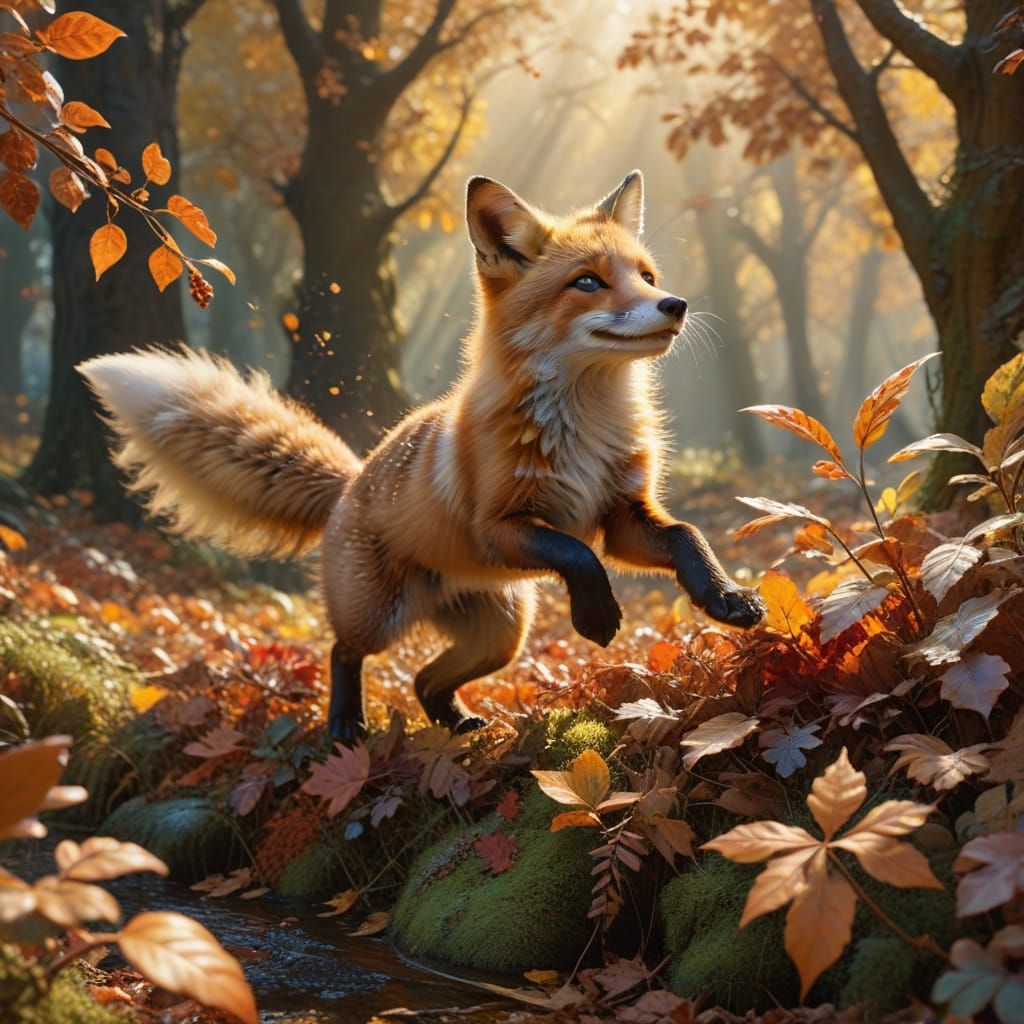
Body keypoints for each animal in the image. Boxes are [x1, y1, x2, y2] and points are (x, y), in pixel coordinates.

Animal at [78, 170, 765, 743]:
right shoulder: (500, 527)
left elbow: (685, 535)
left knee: (423, 681)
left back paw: (459, 725)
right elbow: (578, 556)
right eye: (588, 282)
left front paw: (725, 597)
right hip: (379, 617)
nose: (675, 304)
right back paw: (345, 725)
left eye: (646, 276)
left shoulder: (622, 513)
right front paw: (597, 615)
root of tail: (353, 481)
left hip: (501, 635)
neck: (585, 425)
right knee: (343, 652)